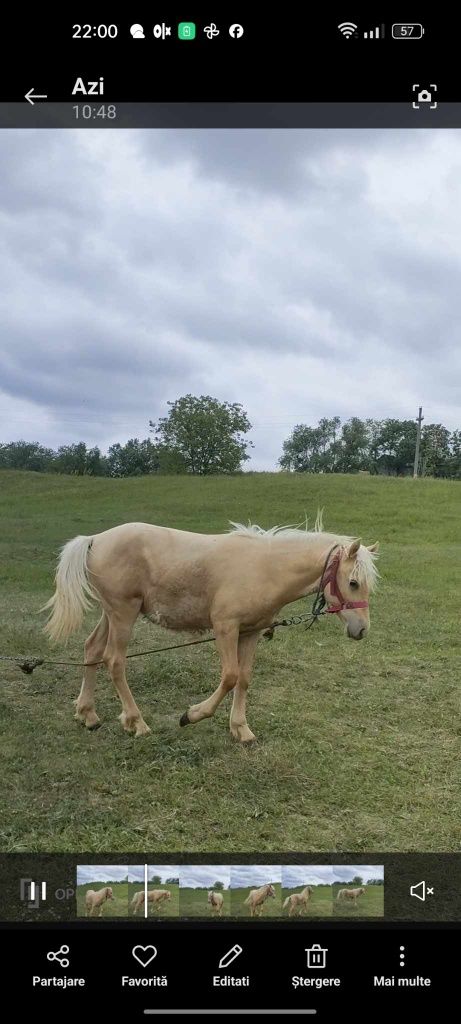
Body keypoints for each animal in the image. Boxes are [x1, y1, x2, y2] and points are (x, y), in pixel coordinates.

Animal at [43, 524, 379, 741]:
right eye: (353, 583)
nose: (361, 629)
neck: (266, 569)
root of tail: (96, 539)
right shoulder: (225, 627)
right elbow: (229, 676)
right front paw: (191, 715)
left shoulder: (251, 632)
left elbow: (244, 678)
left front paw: (240, 728)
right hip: (123, 614)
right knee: (114, 660)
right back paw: (135, 722)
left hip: (111, 614)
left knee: (92, 649)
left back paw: (87, 714)